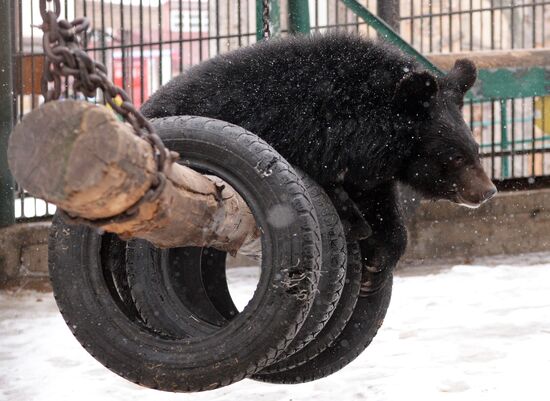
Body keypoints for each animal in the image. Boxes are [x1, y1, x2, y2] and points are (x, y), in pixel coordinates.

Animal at [141, 32, 496, 294]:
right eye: (454, 157)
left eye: (476, 149)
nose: (487, 191)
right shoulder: (298, 130)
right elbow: (325, 183)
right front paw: (357, 225)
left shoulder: (369, 170)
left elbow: (381, 207)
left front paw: (375, 267)